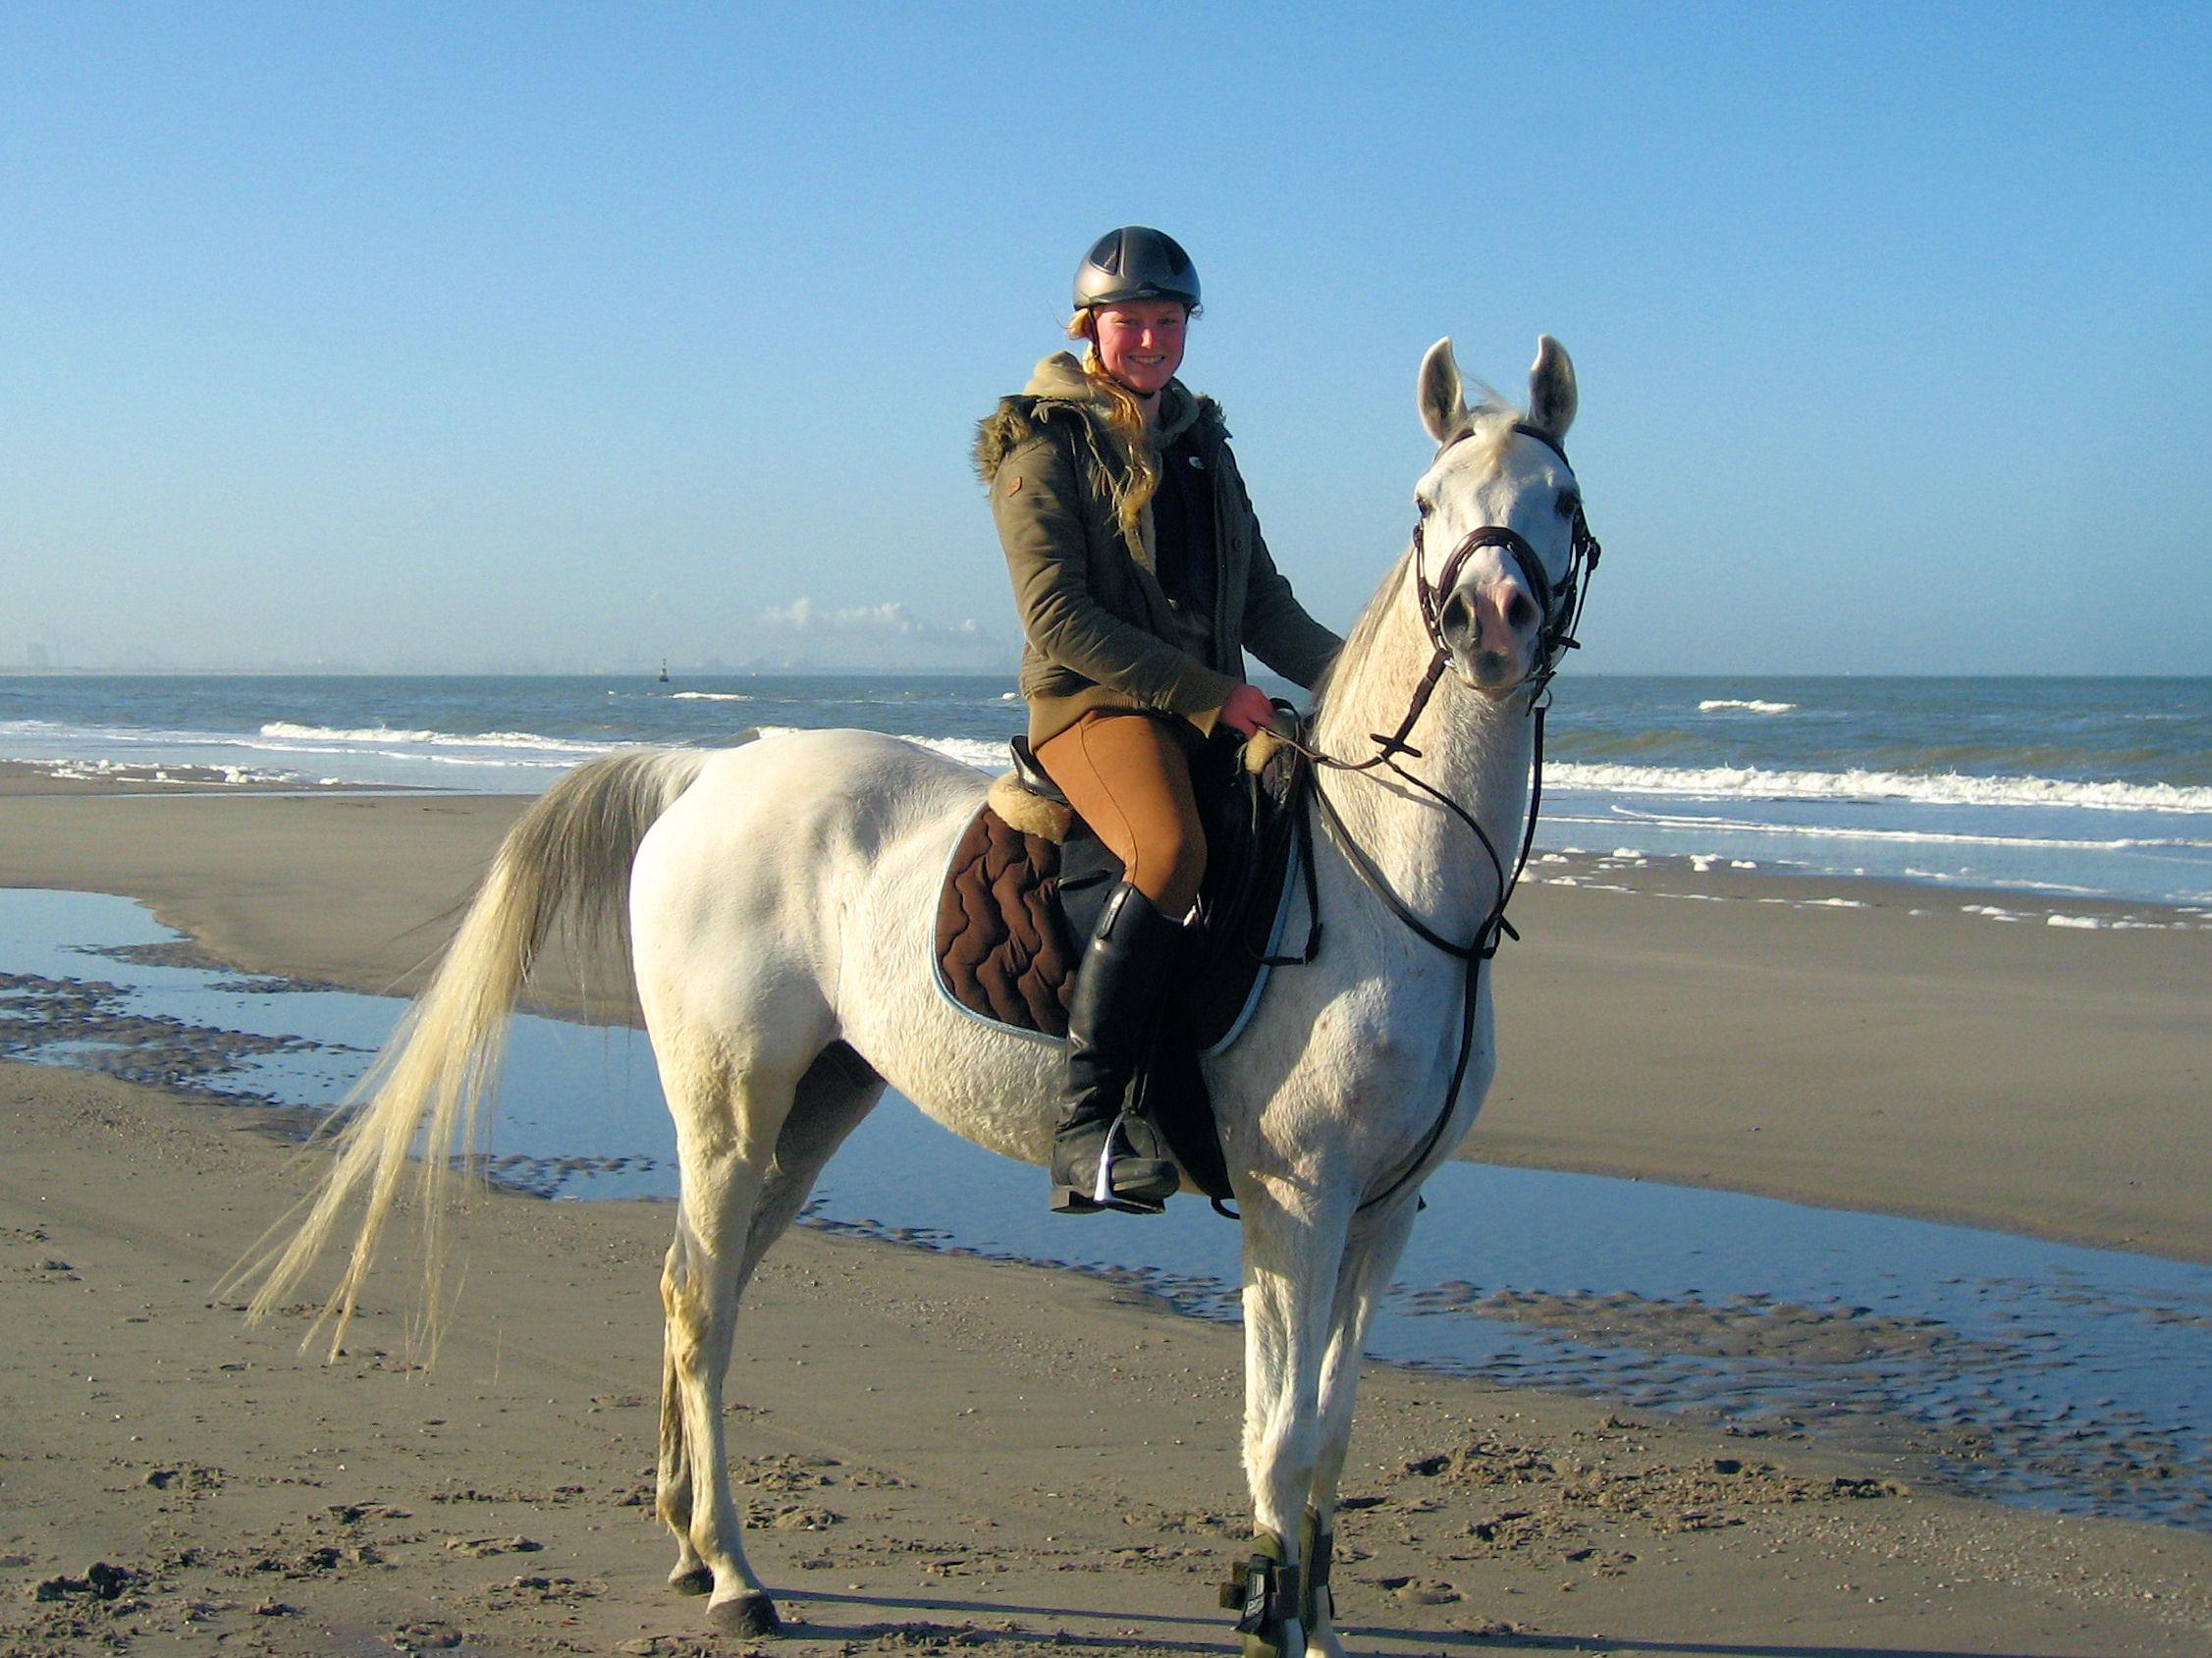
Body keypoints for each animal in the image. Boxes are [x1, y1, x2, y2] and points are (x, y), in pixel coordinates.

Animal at [237, 334, 1594, 1658]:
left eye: (1561, 500)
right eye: (1424, 504)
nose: (1492, 622)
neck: (1385, 879)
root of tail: (706, 775)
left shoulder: (1379, 1218)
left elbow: (1328, 1443)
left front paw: (1308, 1614)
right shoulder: (1297, 1206)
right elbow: (1285, 1442)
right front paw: (1268, 1609)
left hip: (813, 1109)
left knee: (703, 1288)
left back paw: (689, 1544)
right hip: (729, 1109)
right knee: (699, 1302)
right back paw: (734, 1575)